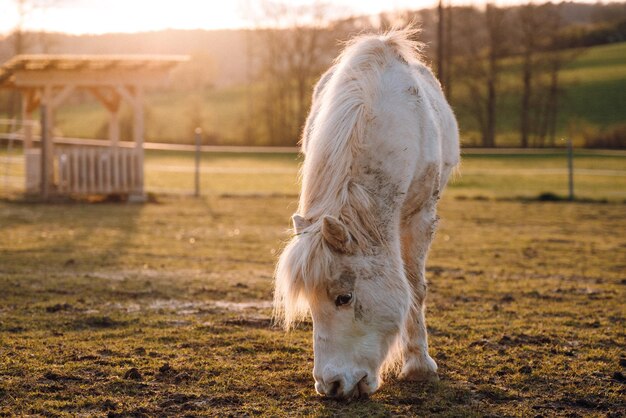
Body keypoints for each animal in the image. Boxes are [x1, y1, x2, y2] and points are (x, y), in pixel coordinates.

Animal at [272, 27, 458, 400]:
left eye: (344, 298)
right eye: (310, 303)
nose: (331, 385)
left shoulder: (419, 218)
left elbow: (415, 288)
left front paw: (419, 366)